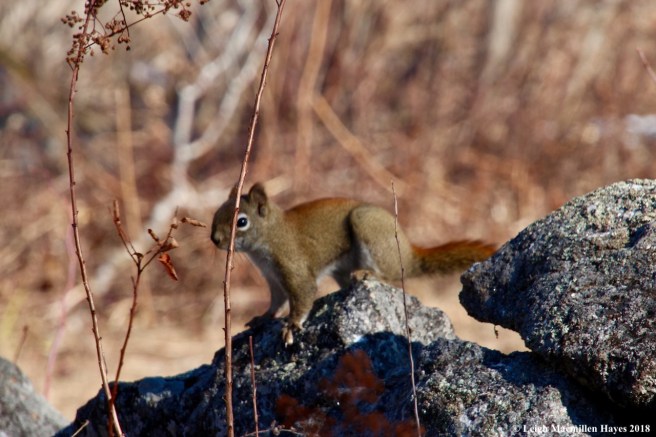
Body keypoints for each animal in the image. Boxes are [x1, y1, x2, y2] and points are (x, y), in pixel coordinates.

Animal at [211, 183, 495, 345]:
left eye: (241, 221)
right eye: (217, 212)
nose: (215, 239)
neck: (269, 237)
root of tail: (407, 251)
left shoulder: (293, 267)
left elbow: (303, 296)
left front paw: (291, 326)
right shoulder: (273, 280)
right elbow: (276, 303)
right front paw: (263, 317)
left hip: (368, 228)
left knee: (391, 276)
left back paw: (369, 274)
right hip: (341, 267)